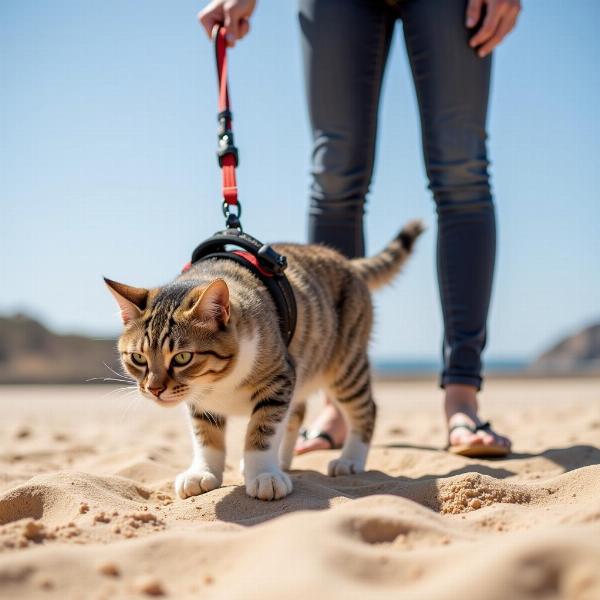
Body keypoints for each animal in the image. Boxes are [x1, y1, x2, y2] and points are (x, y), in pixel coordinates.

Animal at [105, 220, 424, 502]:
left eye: (182, 357)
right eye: (138, 358)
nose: (154, 389)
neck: (220, 382)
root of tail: (348, 262)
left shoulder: (279, 380)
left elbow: (263, 430)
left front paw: (263, 475)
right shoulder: (201, 400)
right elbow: (205, 435)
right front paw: (204, 472)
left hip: (344, 365)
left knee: (364, 408)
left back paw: (349, 460)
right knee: (297, 413)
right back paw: (282, 461)